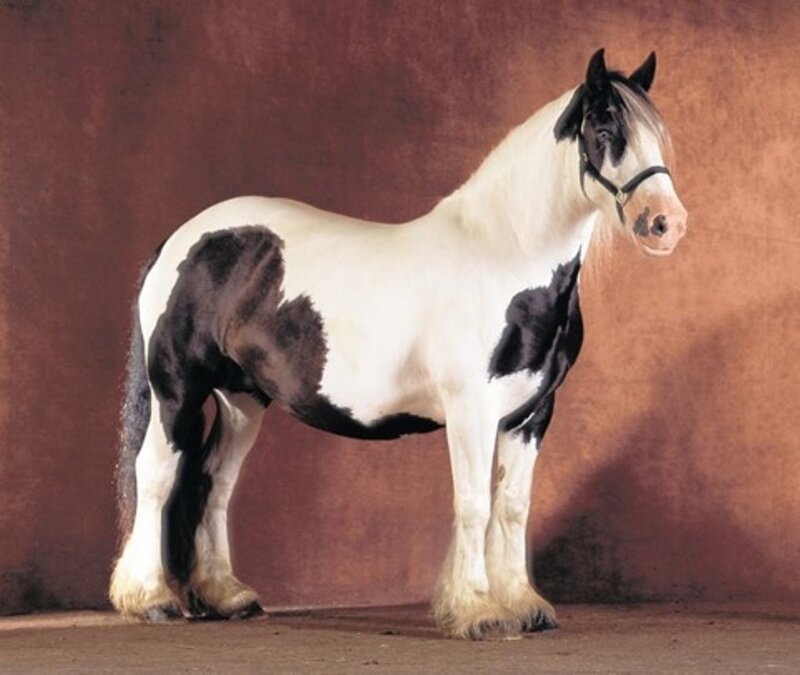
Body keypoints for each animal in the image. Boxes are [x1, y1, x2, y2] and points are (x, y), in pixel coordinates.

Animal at [110, 49, 687, 639]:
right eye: (605, 130)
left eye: (656, 137)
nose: (666, 223)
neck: (504, 256)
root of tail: (181, 239)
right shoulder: (472, 410)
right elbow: (474, 503)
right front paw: (478, 611)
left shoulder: (532, 414)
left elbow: (512, 504)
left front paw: (523, 604)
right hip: (178, 390)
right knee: (156, 474)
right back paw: (149, 598)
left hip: (242, 399)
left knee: (215, 482)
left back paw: (226, 596)